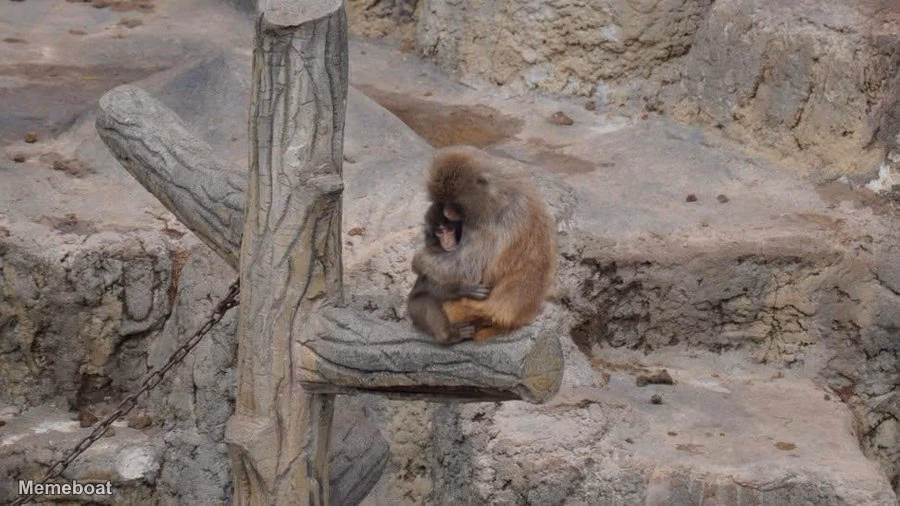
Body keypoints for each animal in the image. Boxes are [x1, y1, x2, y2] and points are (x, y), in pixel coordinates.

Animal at [407, 202, 491, 342]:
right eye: (440, 232)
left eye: (449, 229)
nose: (446, 241)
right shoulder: (433, 252)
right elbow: (435, 286)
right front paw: (466, 289)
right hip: (413, 309)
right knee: (429, 298)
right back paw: (448, 336)